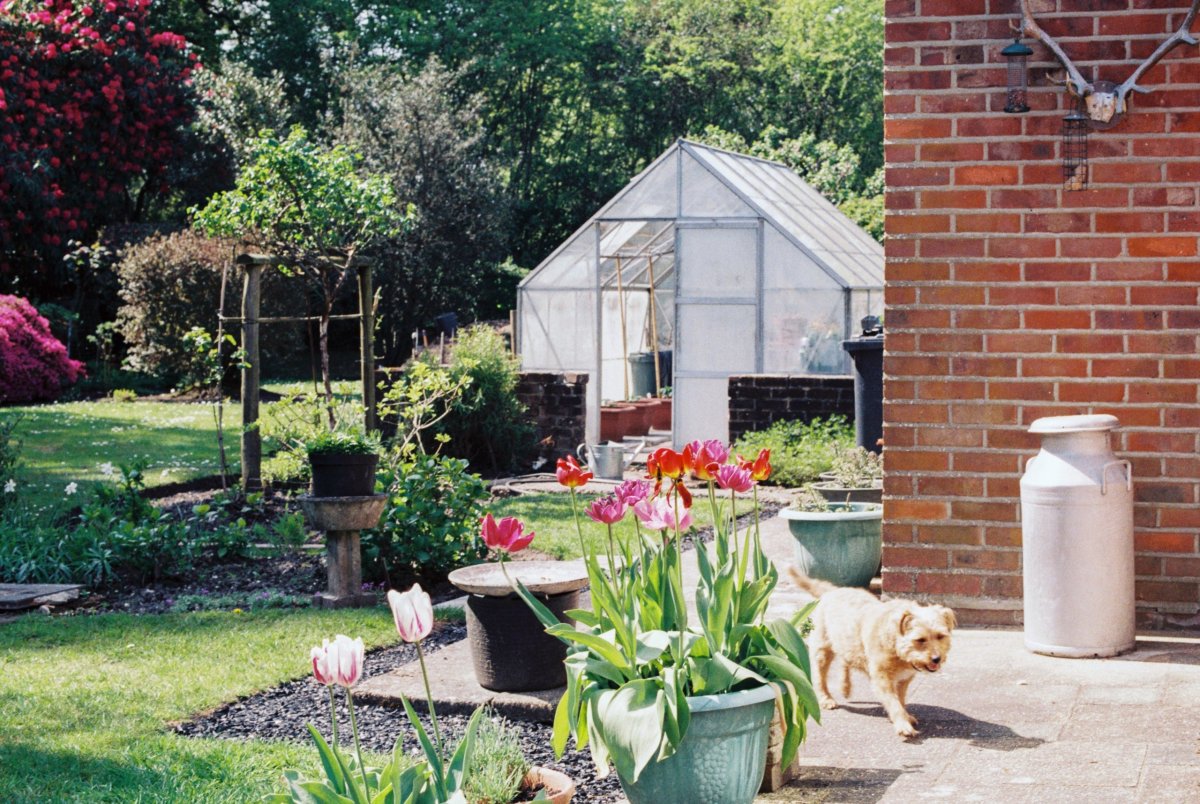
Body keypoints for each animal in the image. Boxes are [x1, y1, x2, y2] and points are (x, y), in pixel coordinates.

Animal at [787, 571, 955, 739]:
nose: (937, 659)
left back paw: (845, 687)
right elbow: (894, 703)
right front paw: (903, 724)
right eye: (920, 640)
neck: (894, 644)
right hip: (823, 650)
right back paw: (826, 698)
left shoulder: (904, 679)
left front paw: (905, 717)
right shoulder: (882, 679)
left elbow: (900, 699)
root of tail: (832, 591)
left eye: (940, 636)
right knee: (820, 676)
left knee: (845, 662)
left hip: (847, 644)